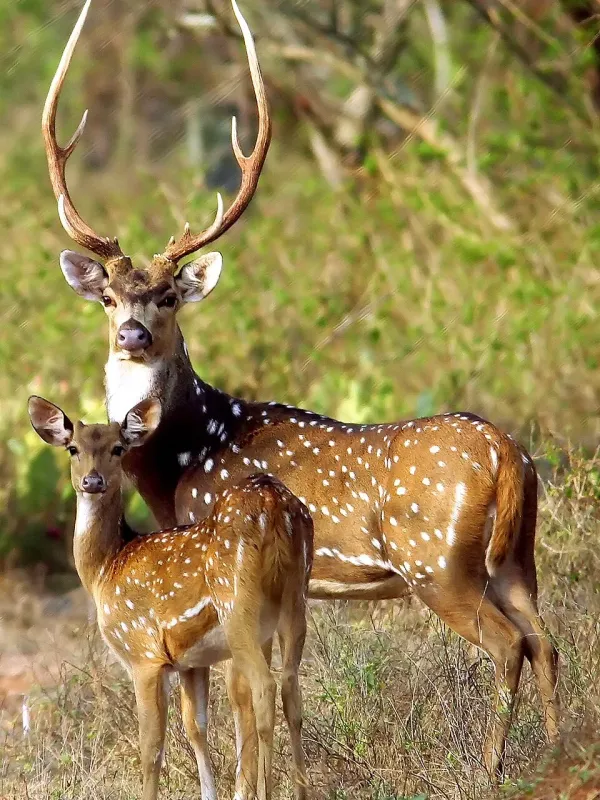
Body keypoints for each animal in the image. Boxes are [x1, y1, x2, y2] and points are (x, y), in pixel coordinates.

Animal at [27, 394, 314, 800]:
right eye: (73, 449)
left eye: (118, 448)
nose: (92, 481)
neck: (106, 568)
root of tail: (275, 505)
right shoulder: (190, 661)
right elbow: (196, 727)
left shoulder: (143, 653)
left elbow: (151, 748)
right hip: (295, 597)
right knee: (291, 688)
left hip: (238, 607)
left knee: (265, 688)